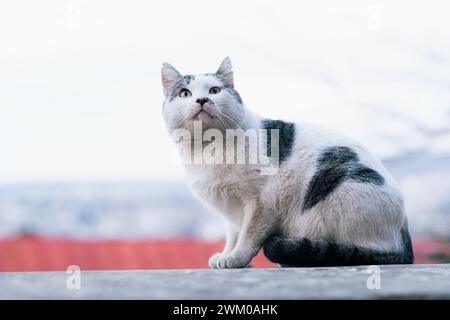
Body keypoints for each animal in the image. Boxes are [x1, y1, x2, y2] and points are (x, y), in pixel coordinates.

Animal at [160, 57, 414, 268]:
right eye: (184, 93)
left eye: (214, 90)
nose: (202, 99)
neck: (207, 150)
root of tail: (404, 238)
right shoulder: (231, 210)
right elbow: (233, 235)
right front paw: (226, 254)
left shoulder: (262, 203)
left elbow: (248, 235)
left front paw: (237, 258)